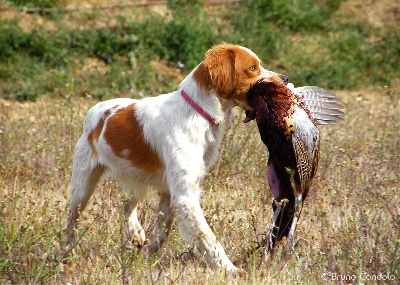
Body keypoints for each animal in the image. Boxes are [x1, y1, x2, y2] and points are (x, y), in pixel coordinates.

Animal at [66, 43, 288, 270]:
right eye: (253, 67)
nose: (286, 78)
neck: (197, 112)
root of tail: (95, 111)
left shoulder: (169, 193)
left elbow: (161, 233)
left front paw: (146, 259)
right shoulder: (184, 196)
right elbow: (208, 237)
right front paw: (229, 269)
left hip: (133, 177)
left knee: (127, 205)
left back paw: (135, 232)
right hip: (82, 187)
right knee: (72, 221)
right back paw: (67, 255)